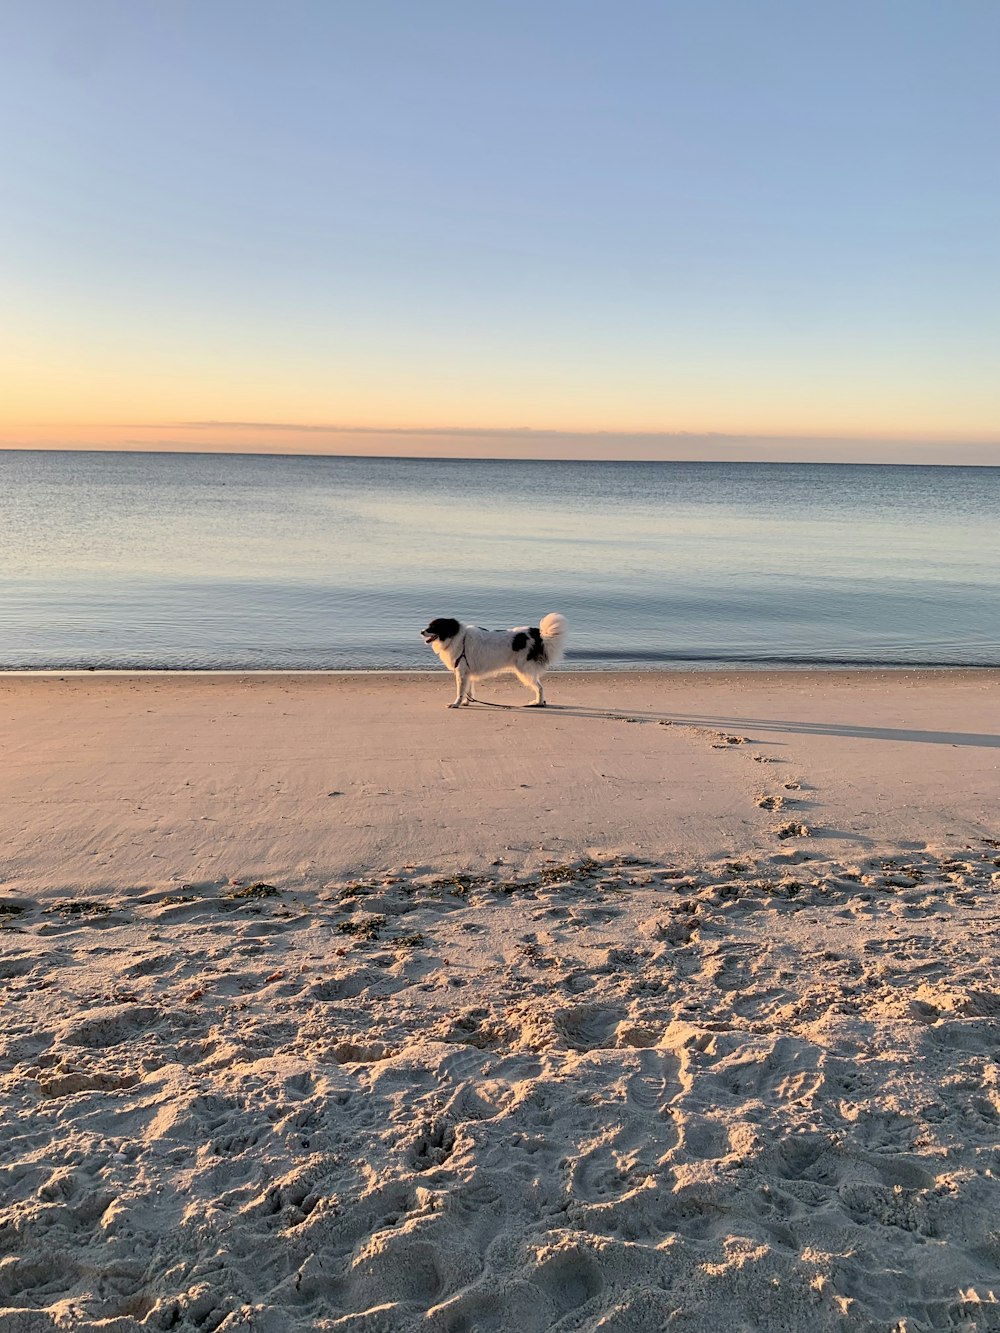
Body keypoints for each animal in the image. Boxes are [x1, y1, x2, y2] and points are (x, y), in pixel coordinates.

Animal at [418, 613, 568, 709]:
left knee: (539, 687)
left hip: (524, 670)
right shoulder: (467, 672)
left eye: (433, 627)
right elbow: (468, 689)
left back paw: (538, 703)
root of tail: (537, 634)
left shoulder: (461, 671)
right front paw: (466, 702)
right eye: (429, 625)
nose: (421, 631)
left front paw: (456, 704)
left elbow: (460, 691)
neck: (456, 637)